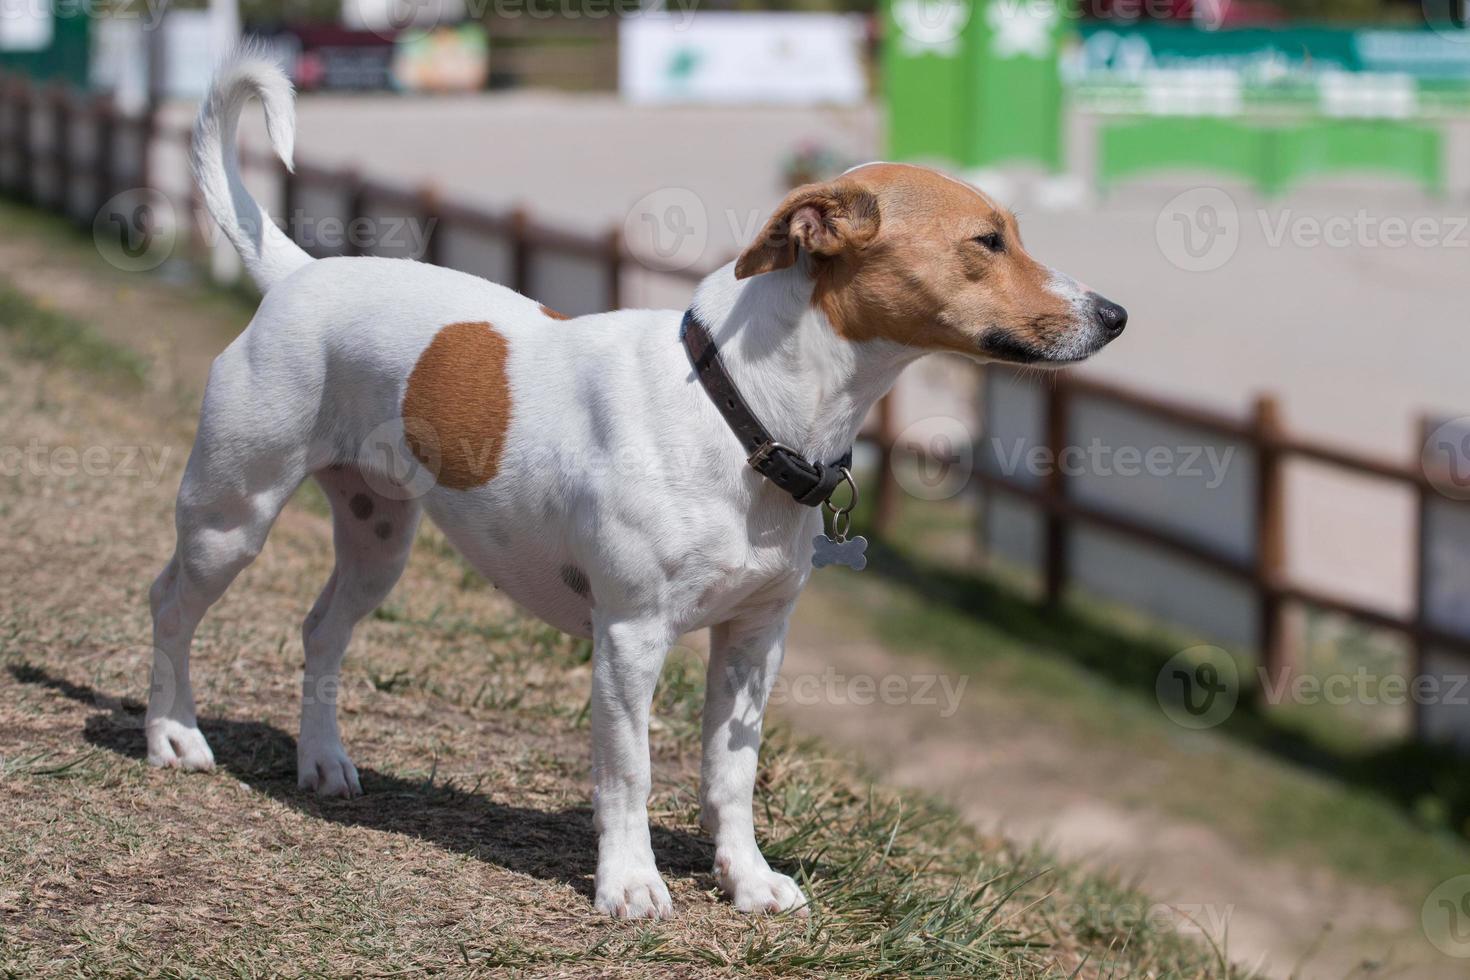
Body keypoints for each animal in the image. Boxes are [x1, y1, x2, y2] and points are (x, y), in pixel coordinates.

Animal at [146, 55, 1123, 922]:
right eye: (987, 242)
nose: (1115, 314)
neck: (742, 409)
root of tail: (300, 272)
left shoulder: (754, 639)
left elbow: (731, 775)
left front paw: (746, 881)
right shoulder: (629, 639)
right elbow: (629, 773)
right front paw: (629, 885)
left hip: (378, 540)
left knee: (320, 632)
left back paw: (321, 762)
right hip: (231, 518)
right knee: (169, 605)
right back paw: (173, 735)